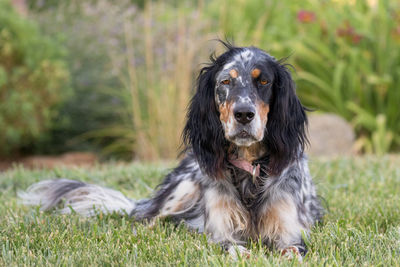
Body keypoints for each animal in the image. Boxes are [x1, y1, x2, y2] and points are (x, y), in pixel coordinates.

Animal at [20, 43, 324, 262]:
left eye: (264, 82)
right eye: (226, 82)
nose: (243, 114)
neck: (249, 167)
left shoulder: (290, 231)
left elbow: (292, 250)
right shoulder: (220, 232)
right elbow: (232, 247)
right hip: (182, 189)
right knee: (145, 218)